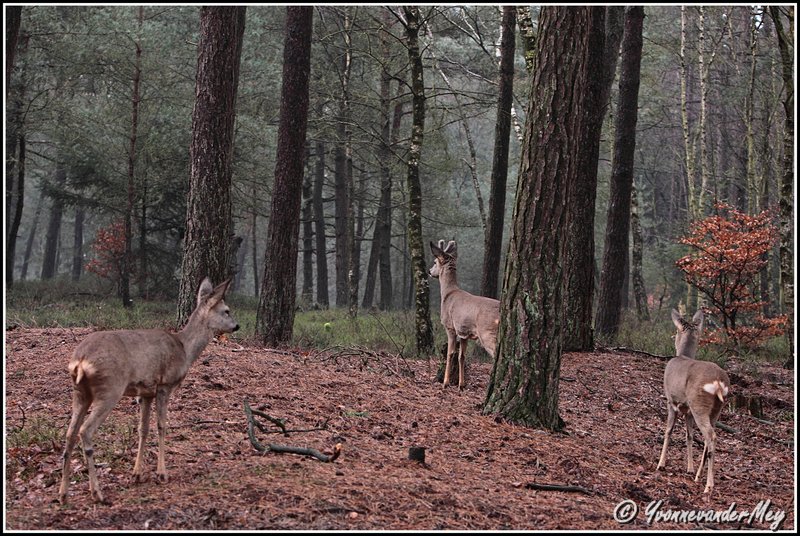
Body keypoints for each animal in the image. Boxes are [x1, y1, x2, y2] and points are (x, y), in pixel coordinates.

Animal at [59, 278, 238, 504]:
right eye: (226, 310)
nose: (237, 326)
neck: (185, 349)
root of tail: (81, 360)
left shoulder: (145, 393)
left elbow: (142, 429)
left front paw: (137, 474)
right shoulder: (164, 385)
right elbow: (161, 426)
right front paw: (162, 473)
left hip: (80, 392)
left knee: (70, 433)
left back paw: (63, 494)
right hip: (110, 389)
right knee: (85, 430)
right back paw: (97, 492)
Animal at [428, 240, 496, 390]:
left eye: (435, 261)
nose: (429, 271)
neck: (448, 294)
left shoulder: (450, 327)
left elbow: (450, 354)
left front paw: (446, 382)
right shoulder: (464, 332)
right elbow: (462, 356)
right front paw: (461, 384)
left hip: (487, 333)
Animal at [656, 308, 732, 496]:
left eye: (676, 331)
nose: (672, 337)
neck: (682, 355)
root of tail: (719, 382)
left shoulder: (671, 401)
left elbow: (668, 431)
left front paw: (661, 464)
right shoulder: (687, 410)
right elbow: (689, 435)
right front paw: (689, 468)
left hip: (699, 404)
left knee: (711, 435)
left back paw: (709, 486)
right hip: (715, 409)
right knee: (707, 438)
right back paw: (698, 476)